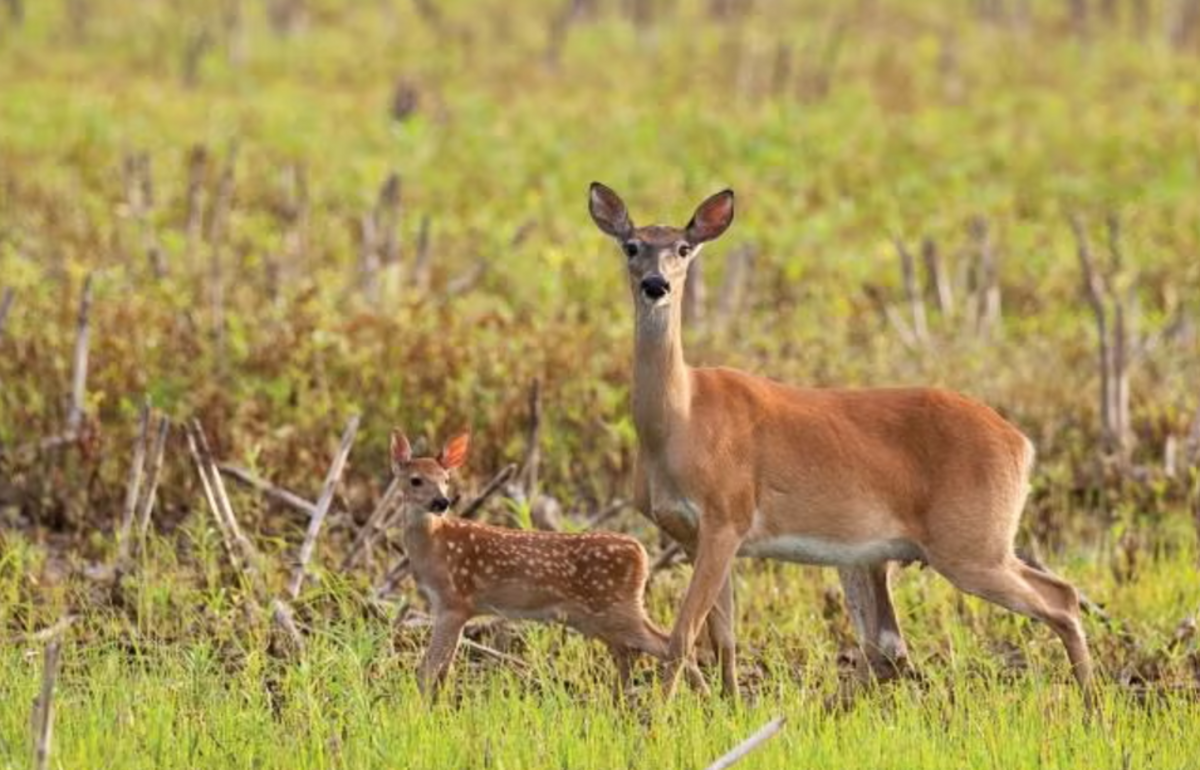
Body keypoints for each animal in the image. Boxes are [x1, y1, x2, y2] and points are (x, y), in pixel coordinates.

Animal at [390, 429, 706, 698]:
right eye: (415, 480)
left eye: (446, 479)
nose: (441, 502)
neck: (434, 548)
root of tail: (641, 552)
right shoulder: (453, 607)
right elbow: (443, 672)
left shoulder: (454, 601)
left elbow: (428, 671)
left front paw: (420, 712)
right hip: (601, 617)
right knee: (632, 652)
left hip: (618, 608)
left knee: (670, 643)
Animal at [587, 181, 1094, 702]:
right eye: (632, 246)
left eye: (684, 249)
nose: (656, 285)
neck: (679, 422)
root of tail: (1021, 444)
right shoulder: (697, 533)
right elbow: (722, 635)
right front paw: (728, 704)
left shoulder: (728, 515)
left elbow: (683, 633)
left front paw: (663, 715)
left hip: (972, 542)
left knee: (1060, 598)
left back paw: (1092, 702)